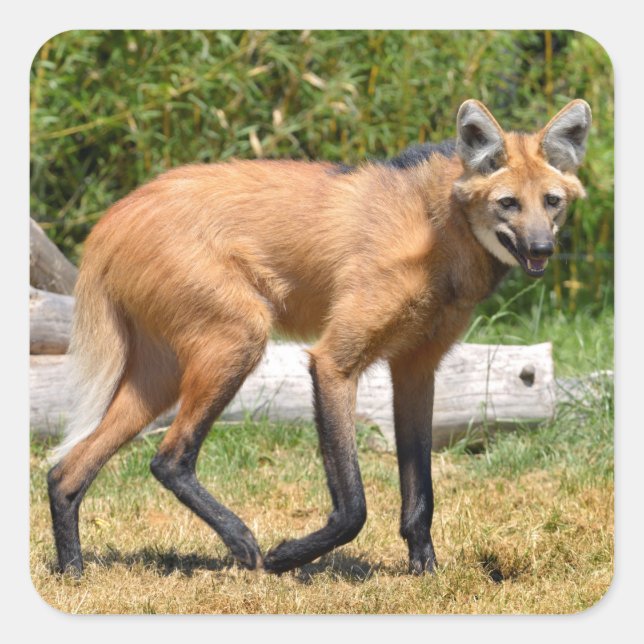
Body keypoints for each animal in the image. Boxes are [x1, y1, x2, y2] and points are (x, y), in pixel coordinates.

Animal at [47, 99, 591, 576]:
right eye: (507, 204)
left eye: (552, 202)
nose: (542, 248)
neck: (437, 228)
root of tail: (114, 216)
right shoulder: (333, 362)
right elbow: (353, 505)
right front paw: (287, 557)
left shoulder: (417, 369)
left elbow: (421, 490)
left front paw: (426, 571)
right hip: (238, 341)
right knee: (169, 459)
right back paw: (244, 544)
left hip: (160, 378)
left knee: (65, 472)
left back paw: (74, 572)